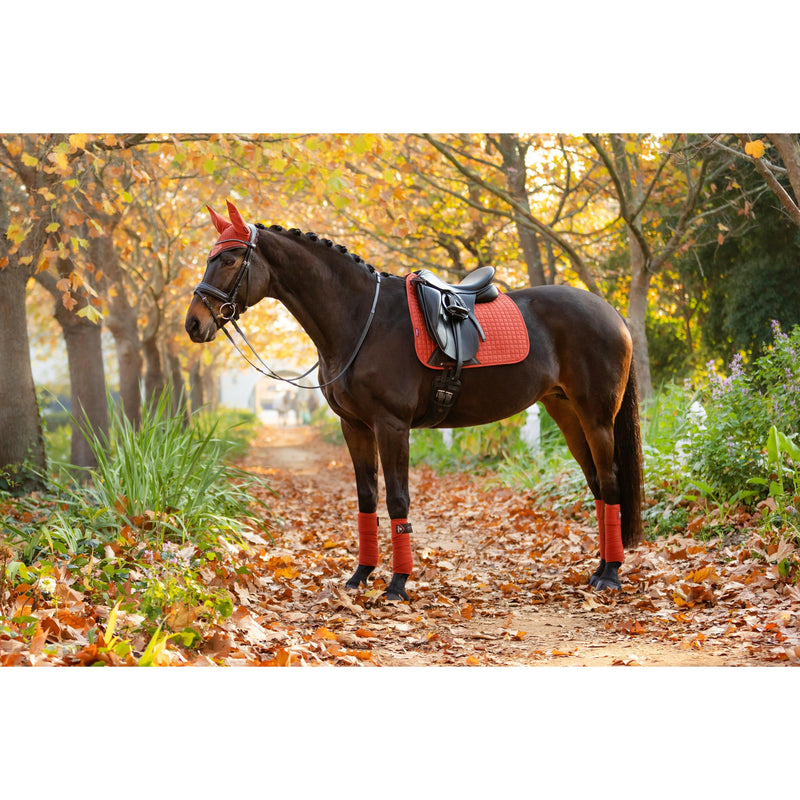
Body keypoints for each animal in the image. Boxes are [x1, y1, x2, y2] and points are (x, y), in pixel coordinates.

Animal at [186, 200, 644, 600]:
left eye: (230, 259)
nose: (194, 323)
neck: (362, 319)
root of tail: (610, 312)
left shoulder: (392, 425)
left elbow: (397, 500)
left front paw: (397, 583)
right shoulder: (354, 427)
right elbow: (367, 498)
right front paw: (361, 575)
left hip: (596, 416)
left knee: (610, 480)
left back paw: (611, 575)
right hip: (566, 412)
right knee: (597, 484)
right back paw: (600, 568)